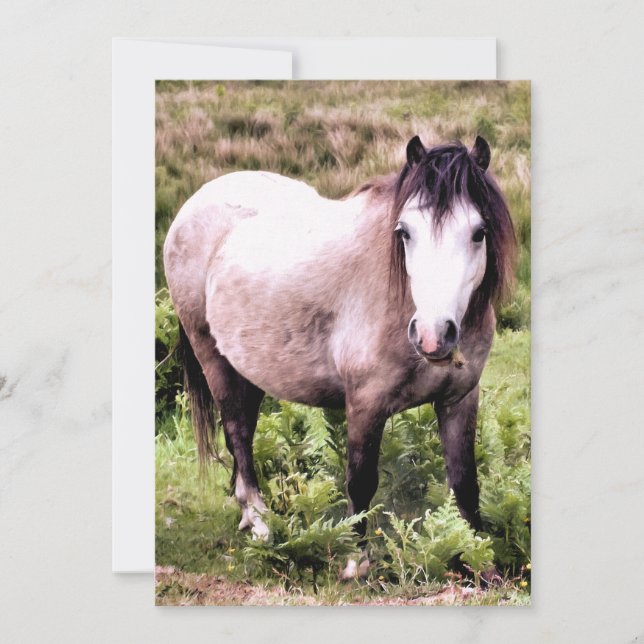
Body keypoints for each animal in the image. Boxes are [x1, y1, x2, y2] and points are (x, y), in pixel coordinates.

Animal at [163, 134, 516, 579]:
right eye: (405, 232)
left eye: (478, 232)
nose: (433, 335)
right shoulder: (365, 403)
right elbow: (360, 481)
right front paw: (355, 562)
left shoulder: (459, 399)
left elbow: (465, 482)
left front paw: (478, 560)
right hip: (212, 357)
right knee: (238, 434)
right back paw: (260, 522)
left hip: (249, 368)